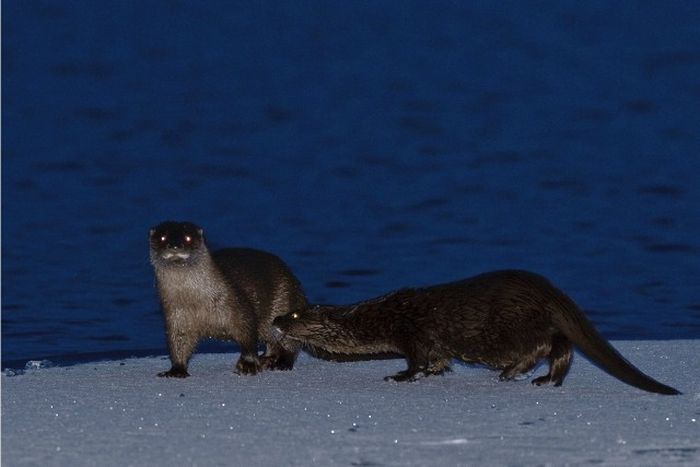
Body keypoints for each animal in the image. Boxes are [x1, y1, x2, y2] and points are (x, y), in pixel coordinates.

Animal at [149, 221, 308, 378]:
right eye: (162, 238)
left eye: (188, 238)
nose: (175, 246)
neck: (197, 302)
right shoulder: (177, 316)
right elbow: (178, 342)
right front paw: (176, 370)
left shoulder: (235, 302)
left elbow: (248, 333)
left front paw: (248, 364)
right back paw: (267, 358)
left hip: (285, 301)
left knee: (291, 344)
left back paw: (281, 362)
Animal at [272, 270, 680, 394]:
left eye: (293, 314)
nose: (275, 322)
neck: (379, 317)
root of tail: (546, 290)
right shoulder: (431, 343)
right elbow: (438, 360)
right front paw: (435, 373)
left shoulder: (412, 332)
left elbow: (416, 359)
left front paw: (400, 376)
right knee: (562, 346)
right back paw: (548, 380)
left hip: (508, 327)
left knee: (541, 344)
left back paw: (513, 372)